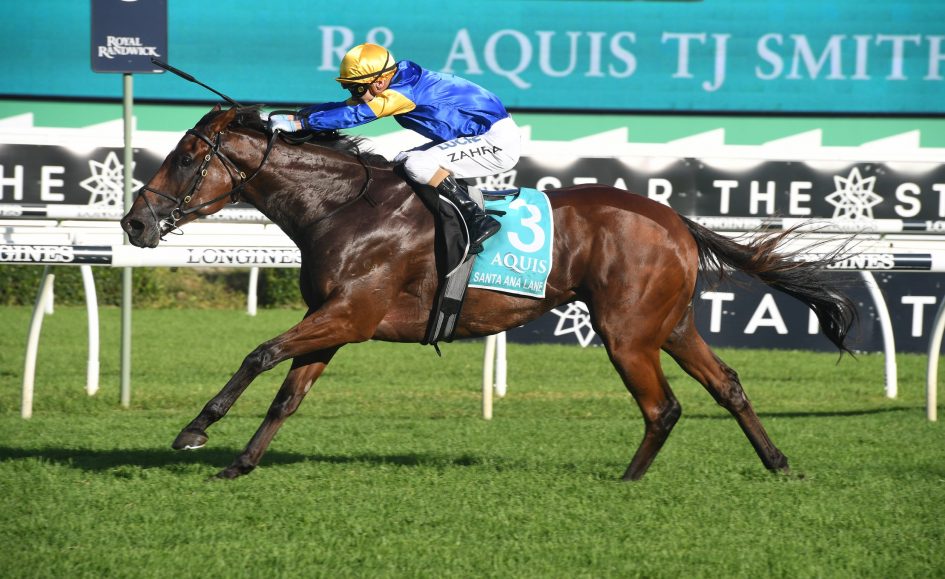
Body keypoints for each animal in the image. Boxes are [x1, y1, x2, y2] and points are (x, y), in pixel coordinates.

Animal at [120, 105, 856, 481]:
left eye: (187, 157)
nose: (134, 222)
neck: (341, 207)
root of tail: (675, 219)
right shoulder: (333, 318)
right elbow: (287, 393)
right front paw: (240, 464)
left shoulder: (348, 314)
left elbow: (259, 354)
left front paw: (194, 430)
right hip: (669, 324)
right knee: (726, 384)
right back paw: (778, 463)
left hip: (626, 332)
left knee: (663, 406)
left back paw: (628, 480)